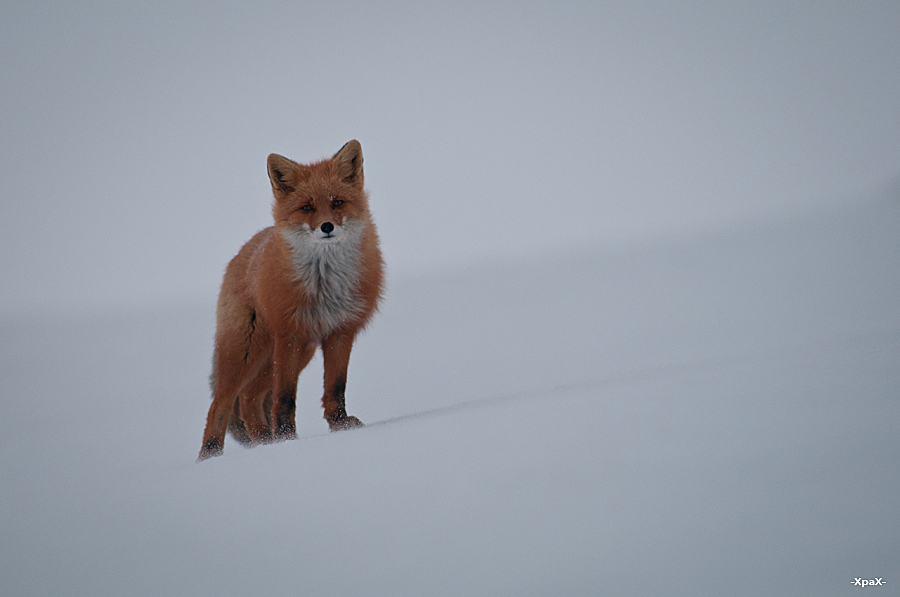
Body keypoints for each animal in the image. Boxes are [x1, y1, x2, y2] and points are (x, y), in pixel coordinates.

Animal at [199, 141, 384, 460]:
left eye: (338, 203)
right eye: (306, 207)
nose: (326, 227)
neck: (325, 284)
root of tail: (243, 251)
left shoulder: (340, 330)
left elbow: (335, 388)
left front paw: (339, 427)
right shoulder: (290, 334)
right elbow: (285, 398)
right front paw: (287, 438)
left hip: (296, 353)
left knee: (249, 397)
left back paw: (264, 441)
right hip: (246, 351)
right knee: (220, 403)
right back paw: (211, 454)